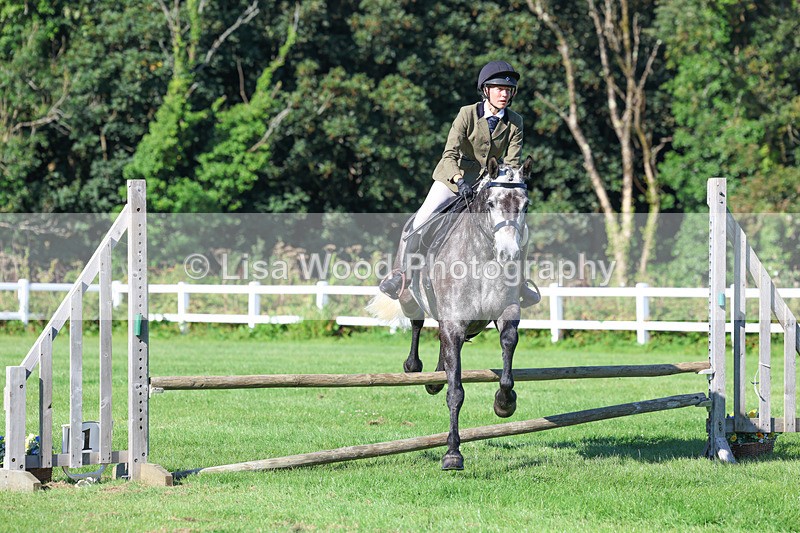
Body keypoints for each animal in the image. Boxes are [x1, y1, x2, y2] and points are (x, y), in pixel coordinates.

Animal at [369, 155, 532, 470]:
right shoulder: (454, 322)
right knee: (418, 324)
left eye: (525, 204)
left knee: (444, 347)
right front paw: (453, 453)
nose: (509, 255)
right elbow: (455, 391)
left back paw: (435, 377)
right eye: (490, 203)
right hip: (409, 295)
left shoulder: (506, 311)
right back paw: (415, 367)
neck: (484, 258)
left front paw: (504, 403)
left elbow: (507, 346)